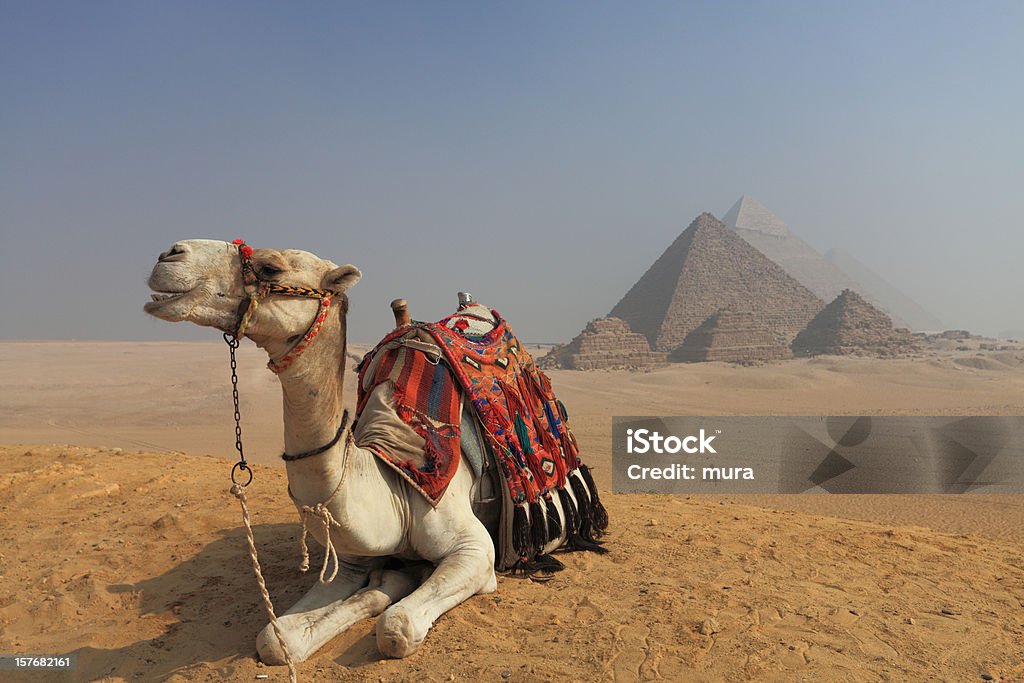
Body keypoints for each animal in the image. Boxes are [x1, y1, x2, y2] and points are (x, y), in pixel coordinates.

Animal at [140, 239, 598, 663]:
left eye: (271, 267)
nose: (169, 254)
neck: (391, 477)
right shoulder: (349, 561)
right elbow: (275, 638)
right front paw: (388, 583)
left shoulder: (476, 552)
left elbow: (397, 628)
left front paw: (397, 588)